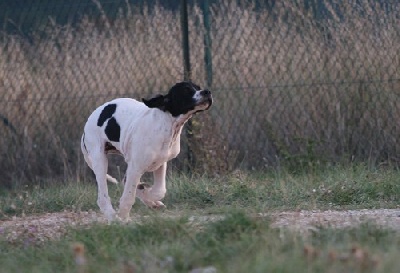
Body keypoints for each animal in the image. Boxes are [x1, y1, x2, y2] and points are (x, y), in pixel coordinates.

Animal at [80, 81, 212, 221]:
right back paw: (112, 216)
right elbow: (129, 196)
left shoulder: (160, 163)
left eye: (198, 88)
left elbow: (159, 191)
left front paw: (149, 196)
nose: (207, 92)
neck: (167, 124)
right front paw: (123, 216)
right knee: (103, 196)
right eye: (186, 90)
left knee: (125, 181)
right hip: (100, 160)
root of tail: (87, 125)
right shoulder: (136, 167)